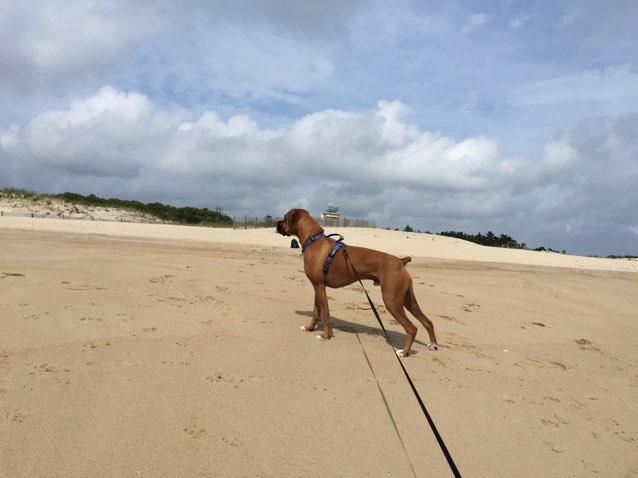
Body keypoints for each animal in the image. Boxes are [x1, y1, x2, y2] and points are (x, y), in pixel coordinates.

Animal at [276, 209, 438, 357]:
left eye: (285, 218)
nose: (277, 224)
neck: (313, 239)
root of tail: (400, 261)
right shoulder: (317, 286)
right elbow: (317, 311)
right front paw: (310, 328)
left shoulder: (320, 287)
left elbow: (326, 313)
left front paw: (325, 335)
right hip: (407, 300)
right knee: (427, 321)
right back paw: (433, 345)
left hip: (392, 300)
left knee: (412, 328)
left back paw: (404, 352)